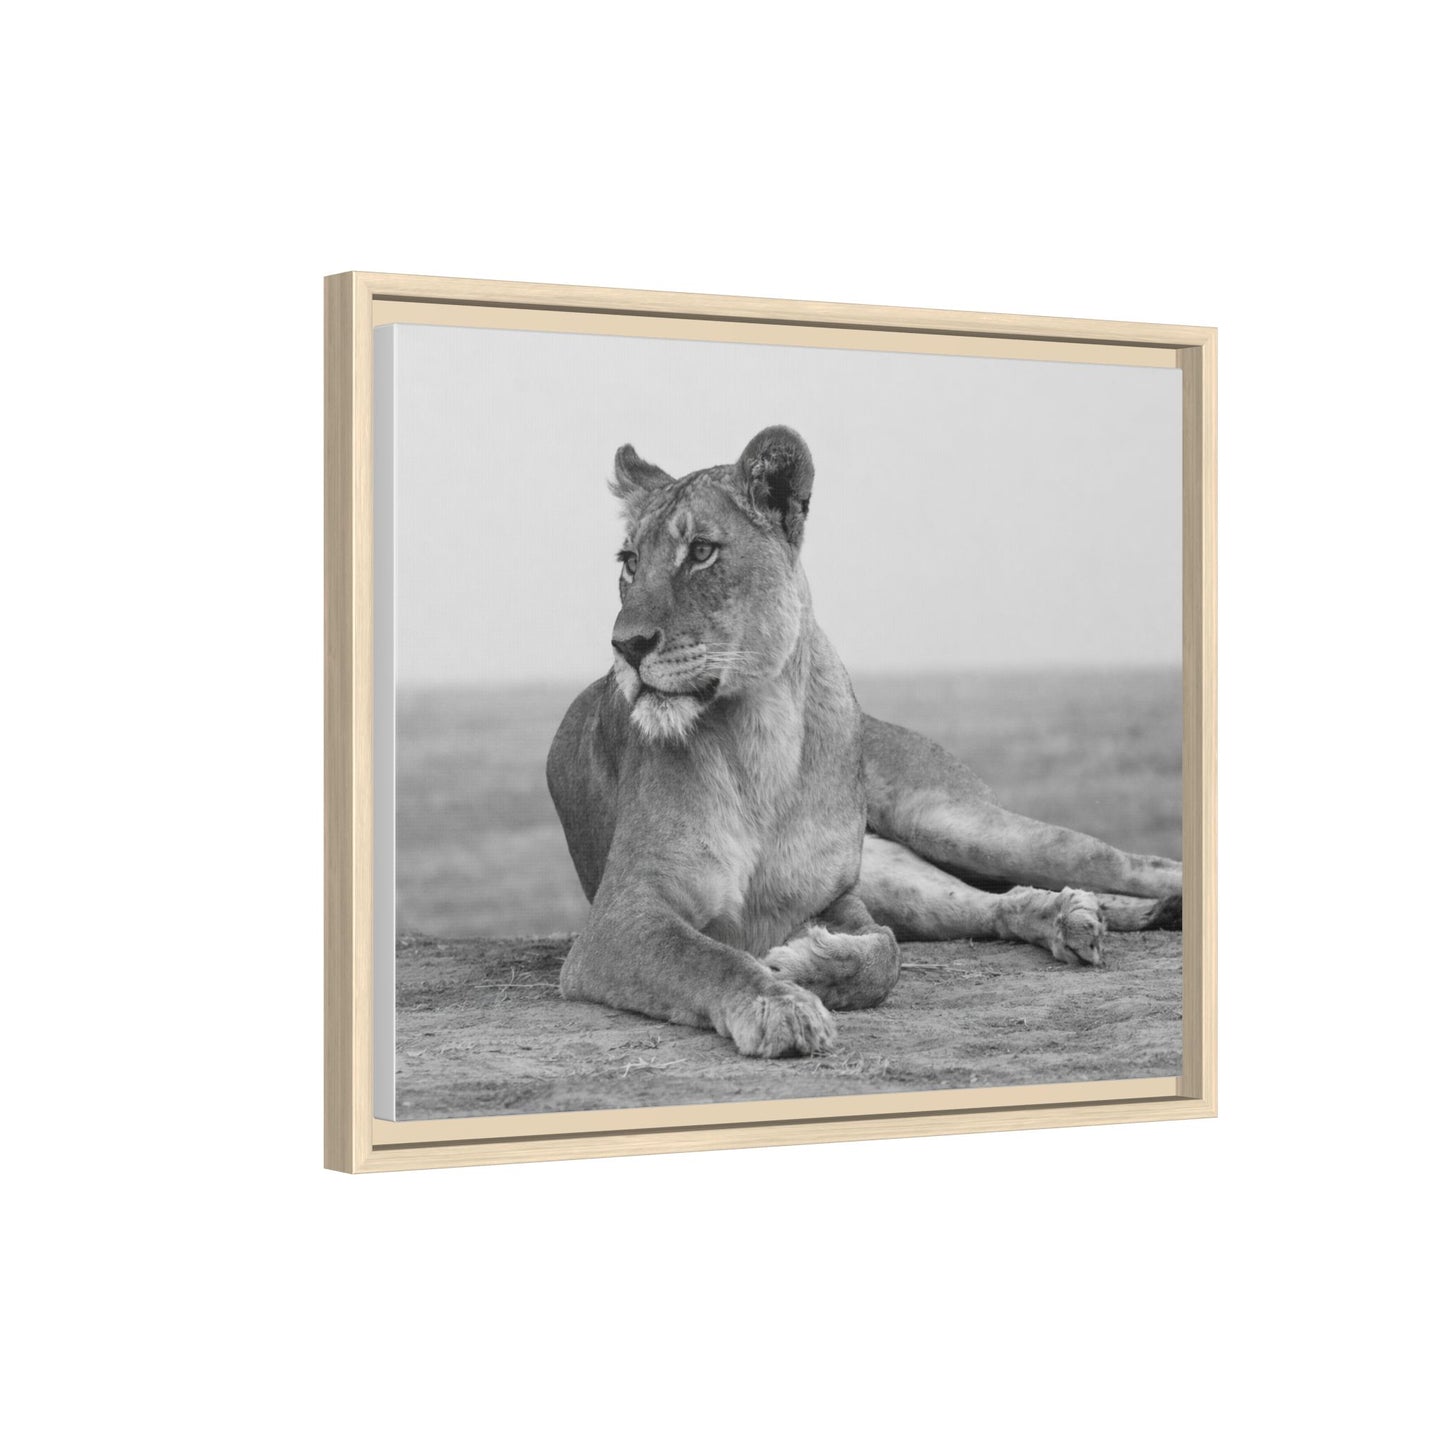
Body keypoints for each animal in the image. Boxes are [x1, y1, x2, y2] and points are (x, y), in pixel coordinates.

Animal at [546, 425, 1182, 1057]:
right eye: (630, 562)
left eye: (702, 551)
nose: (626, 646)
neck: (762, 734)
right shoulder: (621, 917)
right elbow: (710, 957)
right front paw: (780, 1005)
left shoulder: (834, 898)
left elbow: (884, 956)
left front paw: (800, 964)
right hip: (898, 873)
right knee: (990, 904)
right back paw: (1070, 916)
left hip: (946, 821)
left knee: (1124, 861)